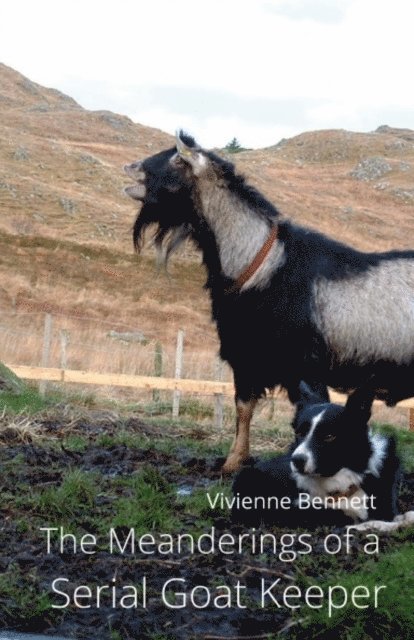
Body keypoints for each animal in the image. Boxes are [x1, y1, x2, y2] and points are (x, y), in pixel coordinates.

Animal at [124, 131, 414, 473]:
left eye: (176, 159)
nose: (130, 167)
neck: (261, 264)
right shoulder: (248, 358)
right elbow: (243, 408)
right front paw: (234, 461)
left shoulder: (303, 365)